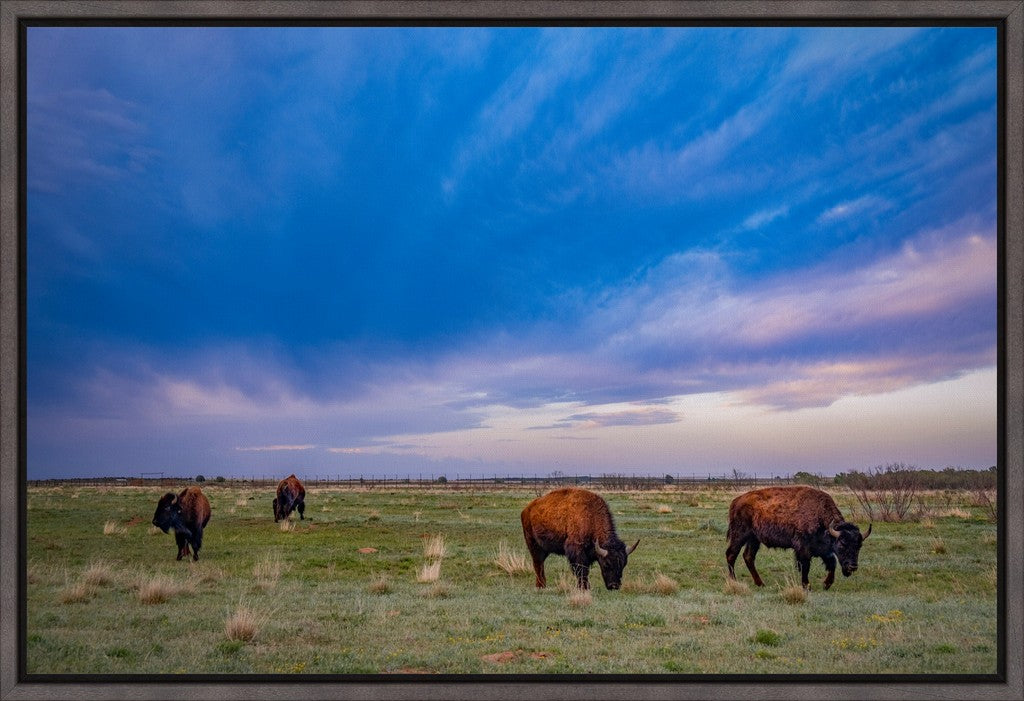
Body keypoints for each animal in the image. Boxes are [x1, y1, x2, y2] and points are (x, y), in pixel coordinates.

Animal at [720, 483, 872, 589]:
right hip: (740, 535)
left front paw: (826, 584)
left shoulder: (823, 550)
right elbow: (805, 566)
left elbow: (832, 563)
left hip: (754, 539)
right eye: (842, 544)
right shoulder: (803, 549)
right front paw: (807, 586)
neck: (819, 514)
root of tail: (736, 501)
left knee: (748, 557)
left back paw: (760, 583)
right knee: (731, 554)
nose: (852, 566)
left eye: (859, 546)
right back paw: (733, 580)